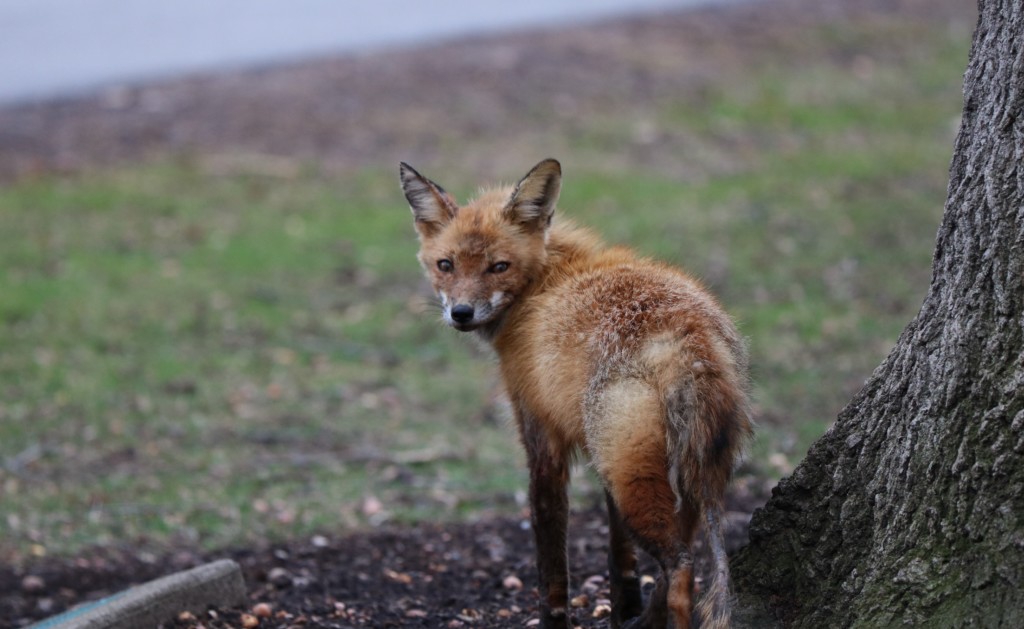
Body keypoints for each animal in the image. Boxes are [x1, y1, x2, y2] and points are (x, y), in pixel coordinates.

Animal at [399, 158, 752, 629]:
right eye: (446, 264)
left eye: (498, 267)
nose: (461, 313)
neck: (542, 285)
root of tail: (690, 339)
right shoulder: (599, 456)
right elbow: (619, 552)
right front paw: (624, 609)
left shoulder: (541, 434)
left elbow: (551, 556)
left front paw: (555, 619)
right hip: (673, 466)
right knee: (679, 553)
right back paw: (644, 618)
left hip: (631, 473)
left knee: (681, 567)